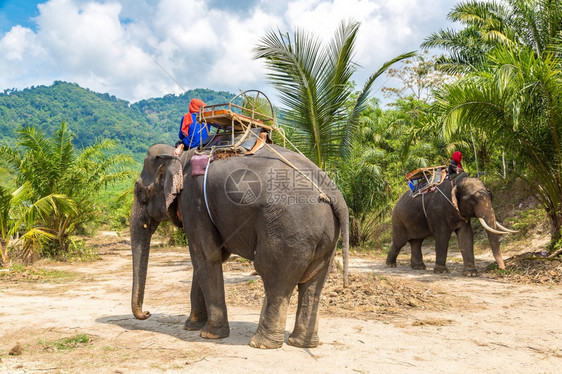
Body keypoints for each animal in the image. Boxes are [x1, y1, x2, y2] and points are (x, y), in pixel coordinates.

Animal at [131, 144, 348, 350]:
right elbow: (206, 258)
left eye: (140, 192)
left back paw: (261, 344)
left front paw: (209, 334)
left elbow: (206, 256)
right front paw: (191, 326)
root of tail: (334, 194)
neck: (182, 155)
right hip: (326, 238)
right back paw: (302, 343)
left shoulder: (194, 205)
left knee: (273, 276)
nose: (147, 313)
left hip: (288, 232)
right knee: (314, 284)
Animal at [384, 175, 512, 274]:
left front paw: (471, 273)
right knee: (399, 241)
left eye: (491, 196)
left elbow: (466, 235)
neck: (456, 182)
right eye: (473, 199)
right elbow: (442, 235)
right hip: (398, 220)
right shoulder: (437, 212)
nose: (502, 269)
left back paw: (419, 267)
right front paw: (441, 271)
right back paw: (391, 265)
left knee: (417, 241)